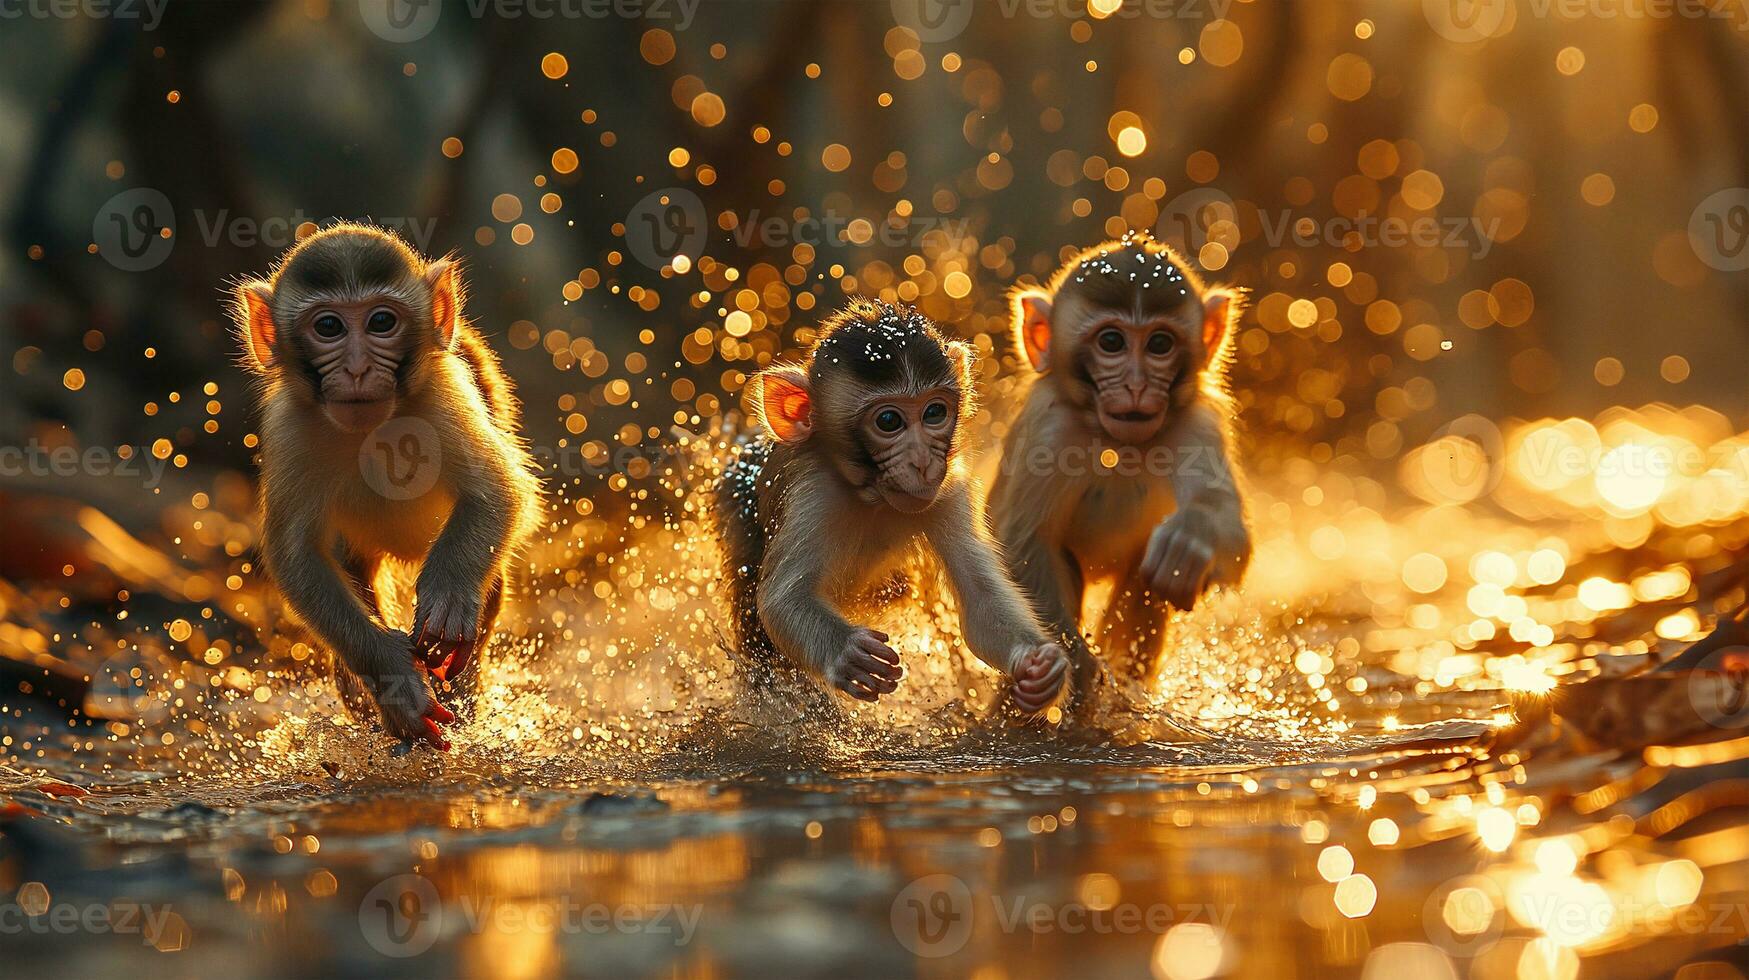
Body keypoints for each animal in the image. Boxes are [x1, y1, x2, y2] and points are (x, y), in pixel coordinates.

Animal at [230, 224, 538, 749]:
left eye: (381, 322)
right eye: (328, 327)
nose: (357, 369)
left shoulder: (445, 394)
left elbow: (496, 490)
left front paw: (448, 597)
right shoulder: (290, 429)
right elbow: (297, 556)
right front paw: (392, 674)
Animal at [710, 299, 1063, 710]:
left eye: (934, 413)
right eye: (889, 421)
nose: (922, 462)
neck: (872, 497)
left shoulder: (948, 493)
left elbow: (981, 602)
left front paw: (1038, 669)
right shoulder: (812, 494)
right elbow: (782, 601)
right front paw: (847, 653)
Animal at [993, 236, 1252, 686]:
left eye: (1160, 344)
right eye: (1111, 342)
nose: (1136, 385)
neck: (1117, 441)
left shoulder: (1198, 426)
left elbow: (1230, 535)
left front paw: (1192, 538)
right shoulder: (1050, 430)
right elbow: (1026, 544)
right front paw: (1076, 672)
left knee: (1147, 574)